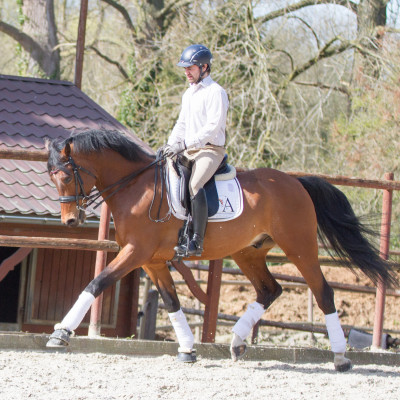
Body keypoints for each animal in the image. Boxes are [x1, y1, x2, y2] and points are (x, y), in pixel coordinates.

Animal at [45, 129, 396, 372]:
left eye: (66, 176)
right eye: (52, 177)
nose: (70, 221)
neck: (136, 187)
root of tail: (296, 183)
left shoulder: (135, 253)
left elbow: (96, 283)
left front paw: (61, 333)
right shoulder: (152, 261)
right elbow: (172, 302)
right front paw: (188, 350)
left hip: (300, 247)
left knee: (323, 292)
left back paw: (340, 358)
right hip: (248, 252)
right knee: (270, 290)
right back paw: (238, 343)